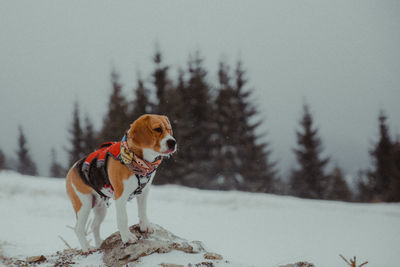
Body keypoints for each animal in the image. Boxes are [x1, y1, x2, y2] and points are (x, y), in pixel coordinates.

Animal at [66, 114, 177, 251]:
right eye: (157, 129)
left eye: (169, 129)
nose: (173, 142)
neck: (137, 160)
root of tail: (71, 170)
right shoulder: (120, 196)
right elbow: (123, 218)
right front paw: (127, 238)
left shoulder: (144, 192)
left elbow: (143, 210)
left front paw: (145, 226)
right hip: (84, 205)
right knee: (78, 229)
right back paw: (87, 248)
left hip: (100, 207)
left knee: (94, 226)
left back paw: (99, 244)